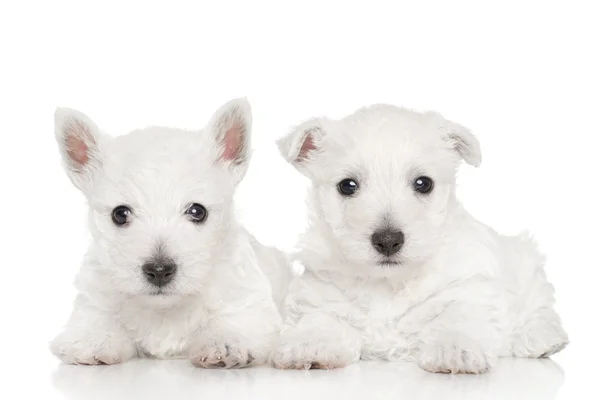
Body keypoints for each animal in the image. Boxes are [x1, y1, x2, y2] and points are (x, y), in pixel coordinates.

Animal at [50, 98, 290, 368]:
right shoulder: (92, 302)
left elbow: (234, 321)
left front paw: (224, 344)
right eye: (120, 214)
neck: (165, 309)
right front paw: (96, 340)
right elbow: (98, 319)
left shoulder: (249, 304)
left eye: (197, 211)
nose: (159, 270)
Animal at [274, 104, 568, 374]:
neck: (387, 283)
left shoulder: (467, 287)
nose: (388, 240)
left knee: (540, 308)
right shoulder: (321, 292)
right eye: (347, 185)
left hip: (526, 262)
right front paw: (309, 345)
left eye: (423, 183)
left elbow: (458, 314)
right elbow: (321, 318)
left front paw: (455, 349)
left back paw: (542, 338)